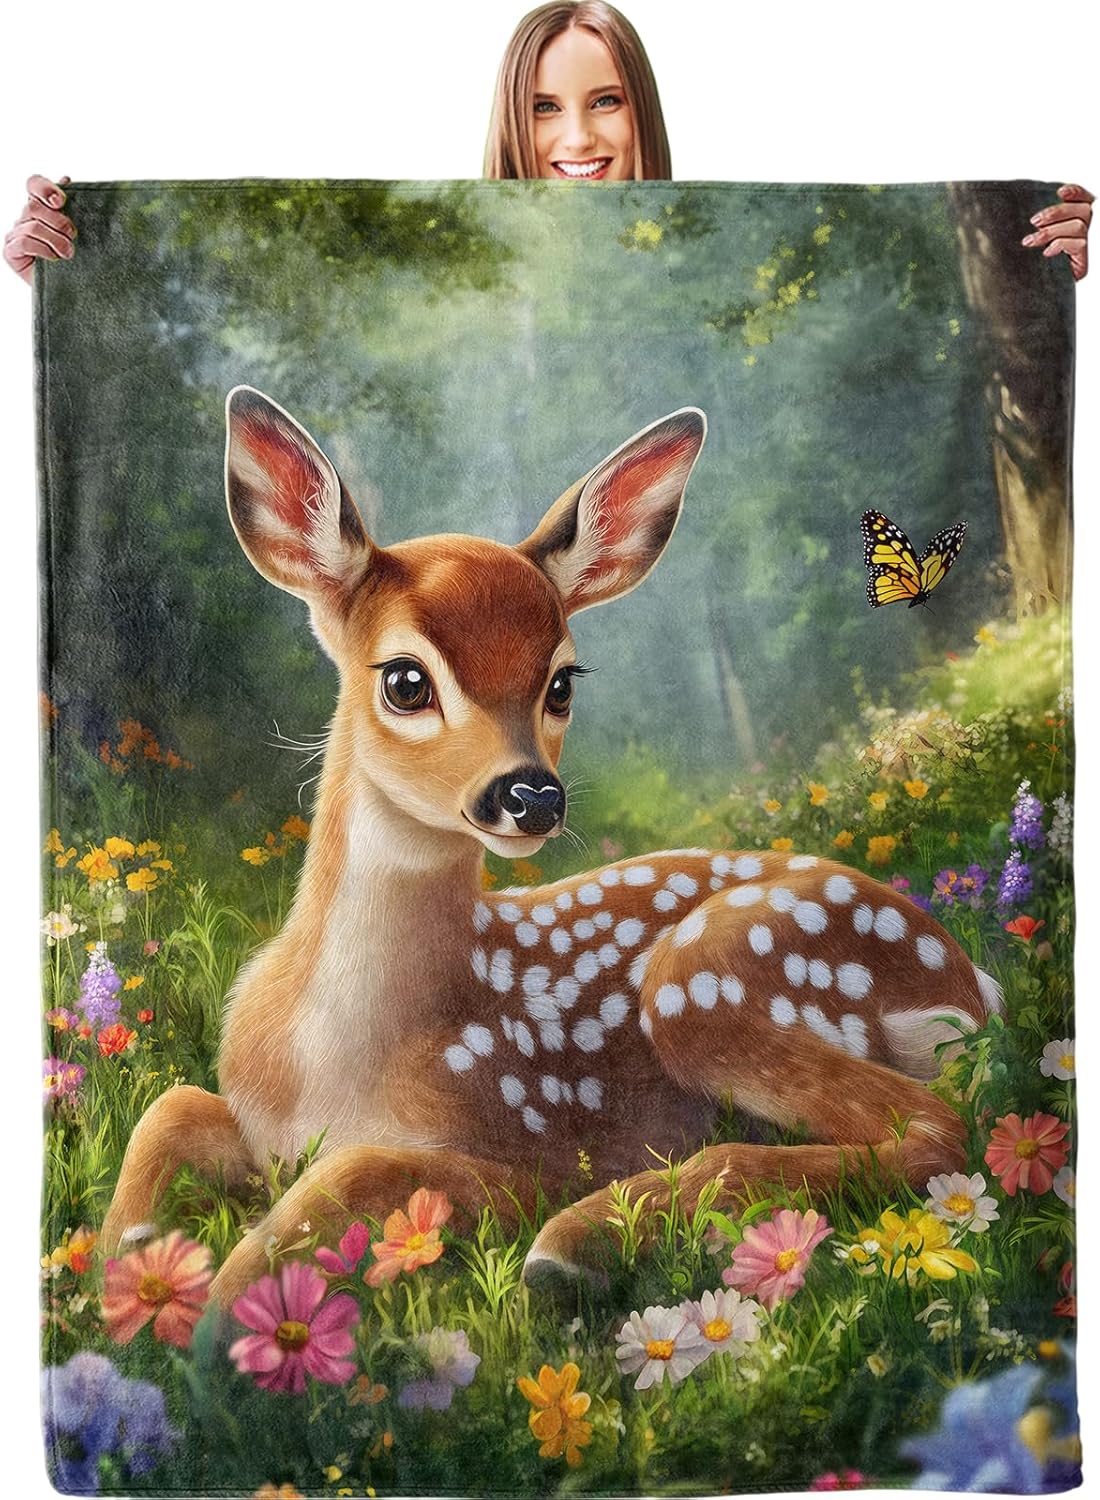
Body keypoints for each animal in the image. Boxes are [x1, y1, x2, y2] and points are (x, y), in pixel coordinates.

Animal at [100, 386, 1003, 1305]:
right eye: (404, 680)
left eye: (562, 682)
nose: (531, 796)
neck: (333, 1062)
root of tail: (965, 980)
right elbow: (171, 1105)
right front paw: (127, 1255)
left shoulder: (526, 1151)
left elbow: (359, 1169)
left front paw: (218, 1305)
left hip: (708, 978)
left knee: (939, 1130)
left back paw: (576, 1243)